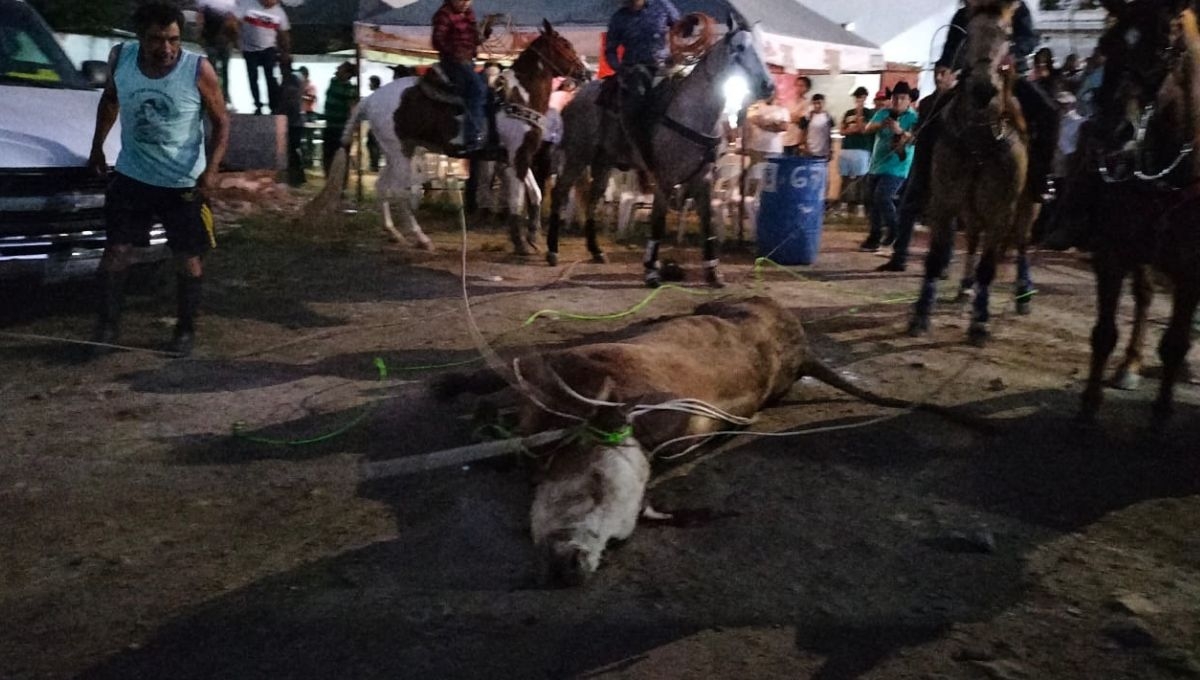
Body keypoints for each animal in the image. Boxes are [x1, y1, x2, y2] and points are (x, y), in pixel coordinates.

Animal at [350, 21, 588, 255]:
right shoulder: (518, 156)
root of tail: (369, 100)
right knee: (399, 192)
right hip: (400, 153)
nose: (585, 73)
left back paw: (393, 233)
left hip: (396, 152)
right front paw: (520, 243)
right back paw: (421, 239)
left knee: (382, 186)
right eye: (565, 45)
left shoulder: (518, 156)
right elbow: (517, 200)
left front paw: (531, 236)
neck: (520, 95)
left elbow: (535, 194)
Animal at [436, 297, 979, 585]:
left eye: (619, 540)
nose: (577, 566)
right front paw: (457, 390)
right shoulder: (553, 365)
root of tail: (801, 347)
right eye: (593, 490)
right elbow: (496, 380)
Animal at [547, 15, 777, 287]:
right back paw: (552, 251)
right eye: (739, 48)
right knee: (559, 193)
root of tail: (576, 97)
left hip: (603, 163)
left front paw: (713, 272)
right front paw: (651, 271)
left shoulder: (703, 179)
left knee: (592, 199)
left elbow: (708, 224)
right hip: (576, 156)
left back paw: (596, 251)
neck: (691, 115)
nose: (769, 86)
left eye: (762, 49)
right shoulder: (665, 180)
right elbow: (657, 222)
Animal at [907, 1, 1041, 345]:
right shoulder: (944, 202)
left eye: (1007, 35)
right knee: (972, 240)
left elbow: (989, 266)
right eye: (967, 31)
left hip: (1027, 206)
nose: (983, 88)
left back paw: (1023, 294)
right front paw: (920, 314)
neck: (979, 137)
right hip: (970, 206)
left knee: (1021, 243)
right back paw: (966, 288)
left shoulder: (1001, 211)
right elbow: (936, 256)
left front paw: (980, 322)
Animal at [1070, 0, 1200, 422]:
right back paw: (1130, 364)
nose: (1111, 130)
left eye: (1163, 49)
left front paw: (1160, 416)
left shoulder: (1190, 270)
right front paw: (1087, 409)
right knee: (1143, 295)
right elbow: (1104, 333)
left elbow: (1174, 343)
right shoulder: (1112, 252)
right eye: (1107, 44)